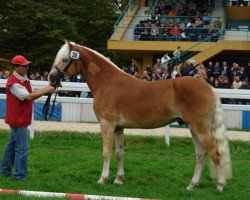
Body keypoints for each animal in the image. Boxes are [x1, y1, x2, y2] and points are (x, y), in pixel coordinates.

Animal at [47, 41, 231, 192]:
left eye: (65, 60)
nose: (51, 78)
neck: (107, 82)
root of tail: (210, 88)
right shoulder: (118, 128)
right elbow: (119, 153)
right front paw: (118, 179)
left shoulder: (107, 124)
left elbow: (106, 152)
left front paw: (102, 179)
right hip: (193, 129)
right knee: (201, 155)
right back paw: (192, 185)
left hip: (201, 130)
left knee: (215, 153)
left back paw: (220, 186)